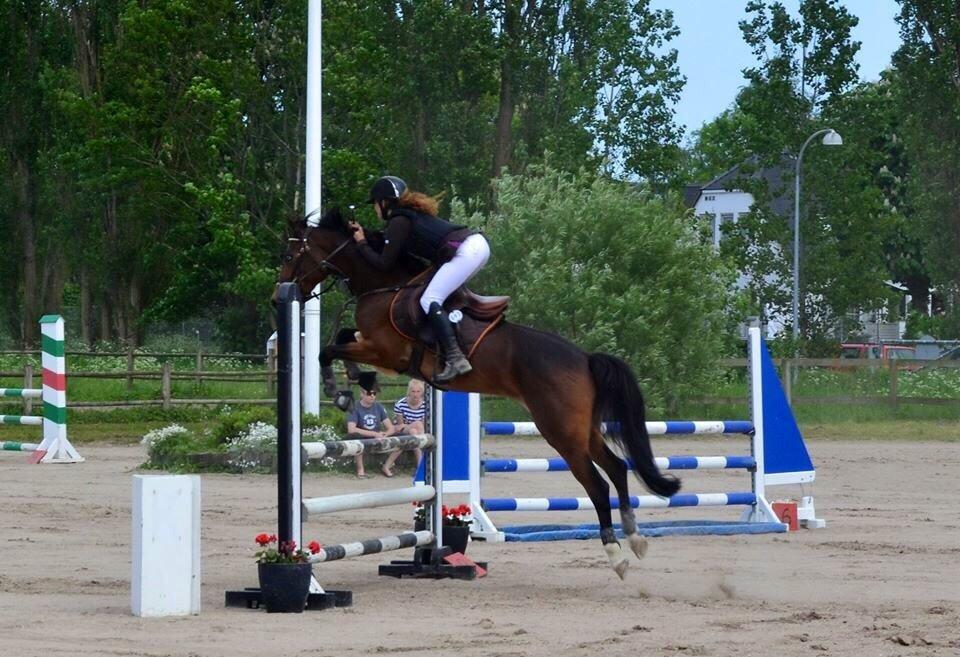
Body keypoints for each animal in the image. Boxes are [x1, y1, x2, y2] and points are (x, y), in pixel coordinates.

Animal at [277, 209, 680, 579]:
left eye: (290, 254)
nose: (277, 294)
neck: (383, 285)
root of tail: (584, 359)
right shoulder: (376, 348)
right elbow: (342, 339)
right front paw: (358, 382)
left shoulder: (386, 351)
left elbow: (328, 349)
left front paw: (341, 390)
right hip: (582, 430)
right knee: (617, 467)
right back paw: (636, 538)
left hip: (561, 432)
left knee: (597, 483)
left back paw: (616, 554)